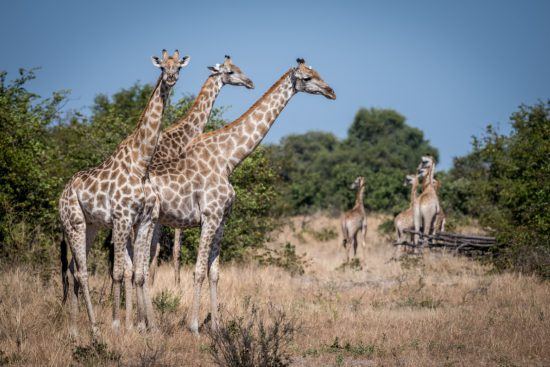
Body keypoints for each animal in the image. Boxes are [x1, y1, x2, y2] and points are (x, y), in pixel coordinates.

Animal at [59, 50, 191, 338]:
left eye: (179, 67)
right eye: (162, 66)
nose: (171, 78)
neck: (141, 164)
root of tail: (61, 195)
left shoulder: (145, 220)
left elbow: (139, 274)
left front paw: (146, 327)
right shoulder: (121, 219)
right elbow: (119, 272)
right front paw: (118, 325)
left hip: (91, 226)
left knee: (73, 269)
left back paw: (74, 330)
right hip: (73, 222)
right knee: (82, 272)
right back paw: (95, 329)